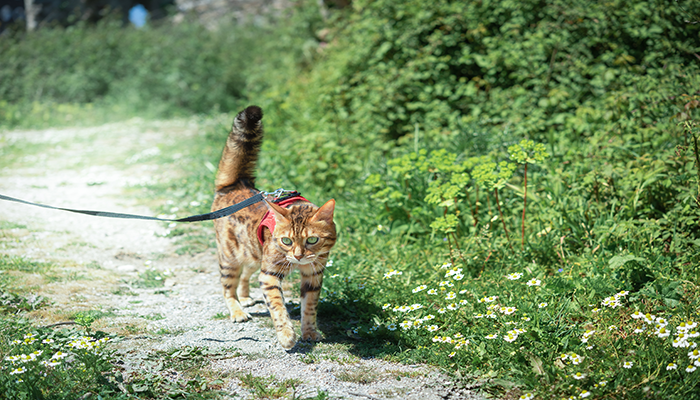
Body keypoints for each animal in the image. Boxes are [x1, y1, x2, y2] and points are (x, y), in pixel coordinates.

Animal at [211, 104, 336, 348]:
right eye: (286, 240)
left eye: (312, 240)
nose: (298, 256)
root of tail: (235, 184)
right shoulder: (269, 274)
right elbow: (277, 306)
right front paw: (286, 335)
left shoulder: (314, 274)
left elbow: (310, 307)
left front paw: (309, 332)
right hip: (230, 257)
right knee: (228, 287)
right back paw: (237, 311)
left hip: (252, 252)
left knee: (245, 275)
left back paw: (246, 298)